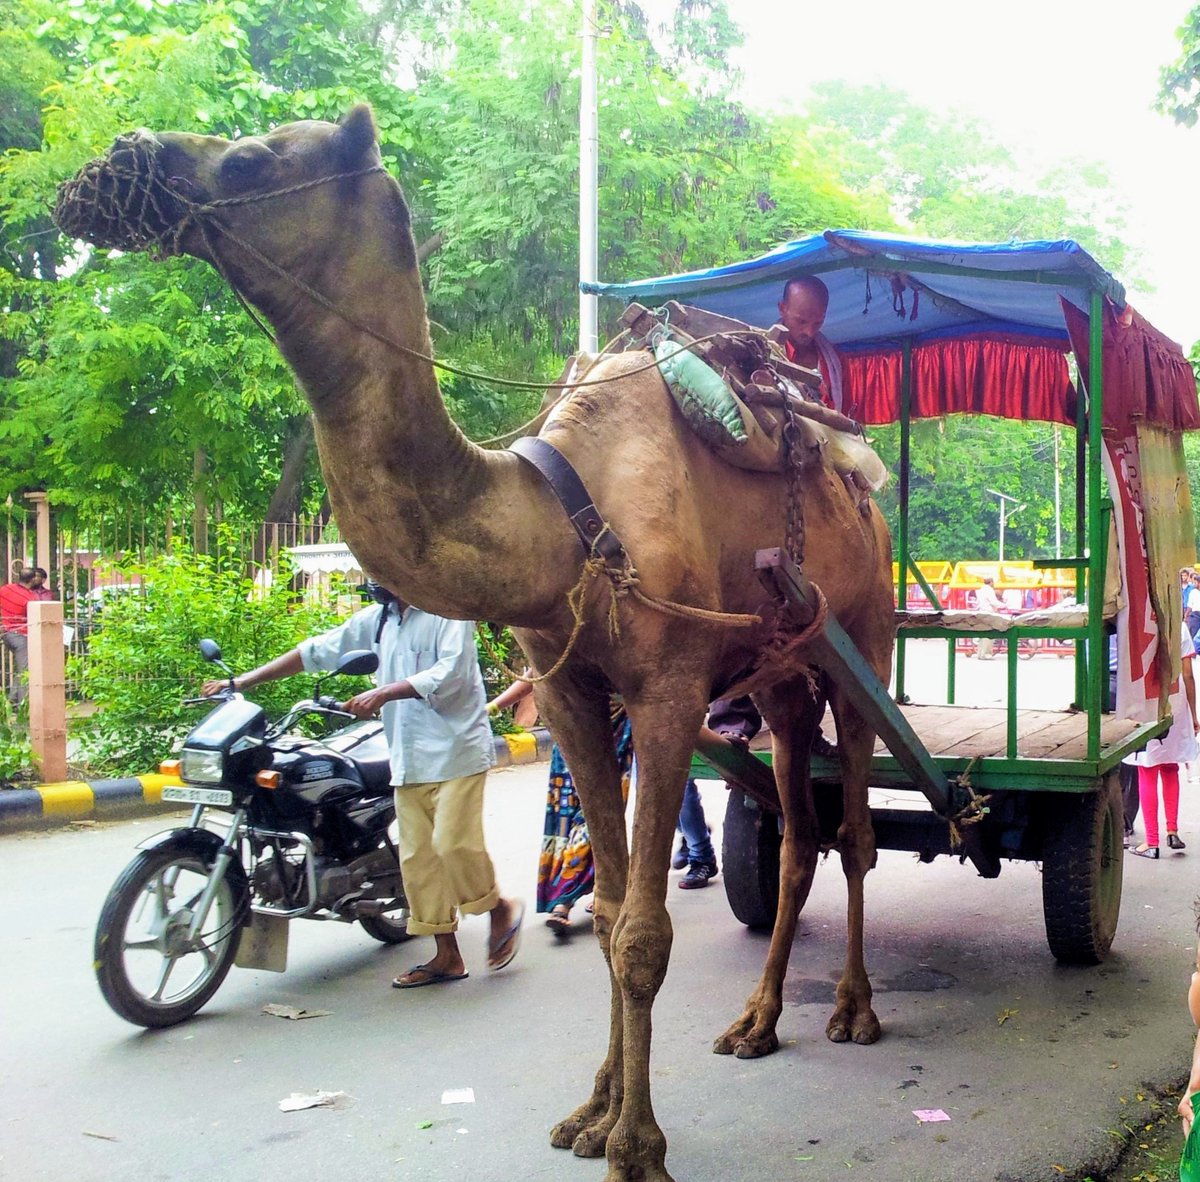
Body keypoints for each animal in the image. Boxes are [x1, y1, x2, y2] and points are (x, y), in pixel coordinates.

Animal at [55, 105, 895, 1182]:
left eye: (247, 158)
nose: (109, 168)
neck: (564, 512)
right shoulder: (570, 686)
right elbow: (613, 911)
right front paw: (592, 1114)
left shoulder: (667, 689)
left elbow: (645, 932)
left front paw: (637, 1146)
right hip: (782, 669)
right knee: (797, 833)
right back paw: (757, 1021)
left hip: (861, 636)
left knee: (857, 828)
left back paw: (853, 1010)